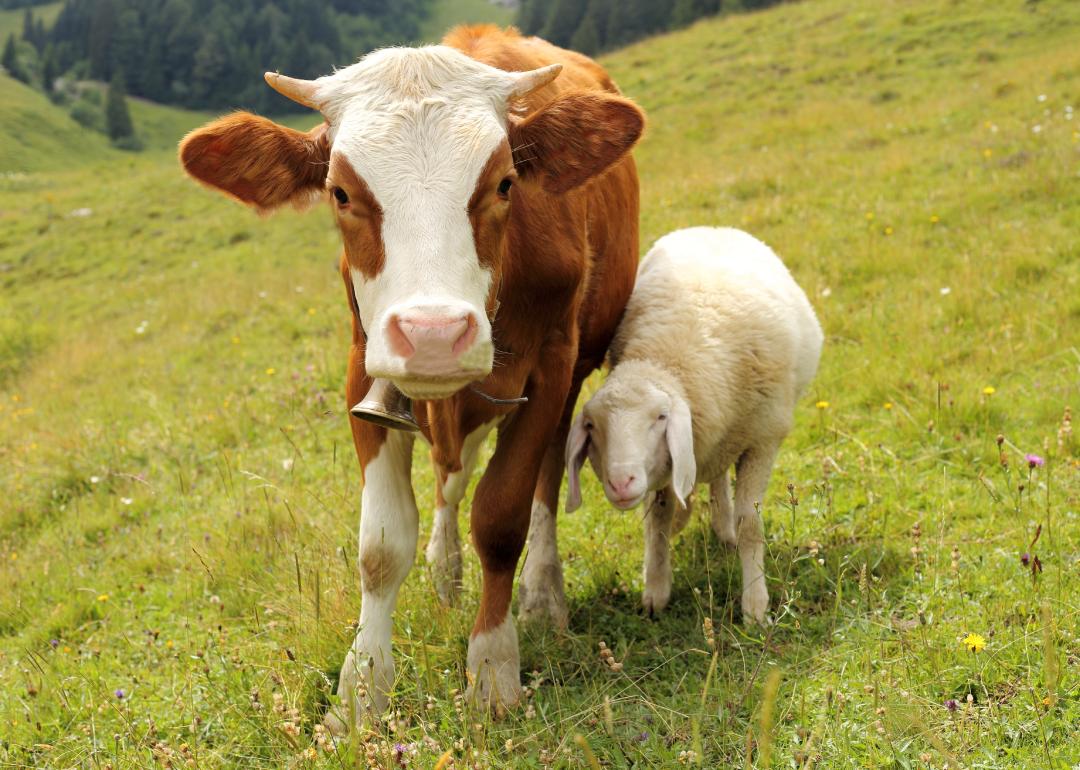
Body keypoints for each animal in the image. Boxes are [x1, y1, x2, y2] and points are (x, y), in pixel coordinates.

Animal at [177, 25, 639, 725]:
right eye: (340, 193)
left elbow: (502, 518)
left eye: (506, 183)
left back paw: (543, 595)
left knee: (542, 482)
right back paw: (445, 570)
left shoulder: (554, 365)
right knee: (451, 479)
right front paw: (361, 692)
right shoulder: (361, 368)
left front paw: (493, 671)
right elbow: (382, 544)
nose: (433, 335)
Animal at [561, 225, 820, 622]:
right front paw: (656, 588)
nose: (621, 483)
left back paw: (725, 530)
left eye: (661, 417)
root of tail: (713, 228)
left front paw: (755, 604)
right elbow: (659, 518)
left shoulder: (763, 439)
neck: (668, 358)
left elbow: (750, 524)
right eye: (591, 426)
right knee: (716, 475)